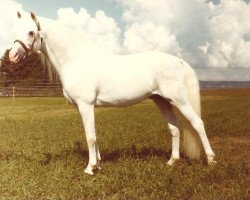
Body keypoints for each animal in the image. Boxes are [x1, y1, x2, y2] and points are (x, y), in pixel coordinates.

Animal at [7, 12, 215, 175]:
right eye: (15, 31)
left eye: (31, 32)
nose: (12, 56)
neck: (76, 59)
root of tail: (178, 60)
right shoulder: (87, 107)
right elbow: (94, 135)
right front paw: (98, 165)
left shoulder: (86, 105)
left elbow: (90, 137)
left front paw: (90, 168)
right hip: (161, 101)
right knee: (175, 129)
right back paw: (172, 161)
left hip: (179, 100)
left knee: (198, 124)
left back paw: (211, 160)